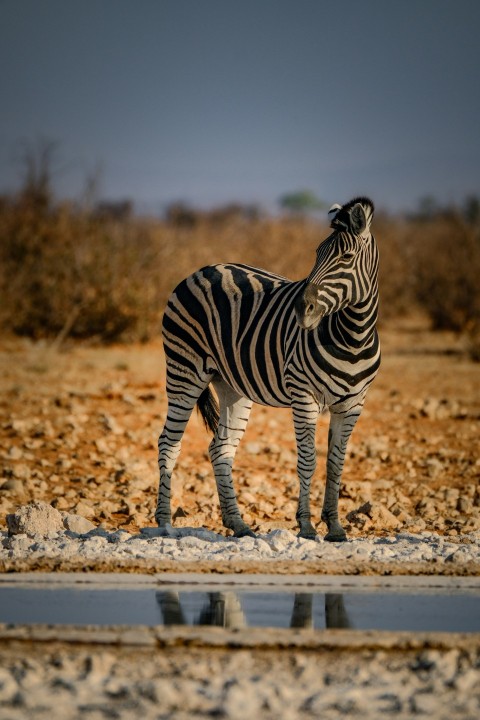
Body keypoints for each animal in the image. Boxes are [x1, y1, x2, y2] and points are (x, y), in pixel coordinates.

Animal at [156, 196, 380, 541]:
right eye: (317, 253)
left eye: (346, 257)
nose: (301, 309)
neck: (352, 337)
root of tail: (201, 270)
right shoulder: (304, 396)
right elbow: (308, 460)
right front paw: (306, 527)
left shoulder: (354, 403)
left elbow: (336, 463)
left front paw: (335, 527)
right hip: (184, 370)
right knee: (169, 442)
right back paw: (165, 524)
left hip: (231, 385)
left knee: (220, 448)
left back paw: (238, 524)